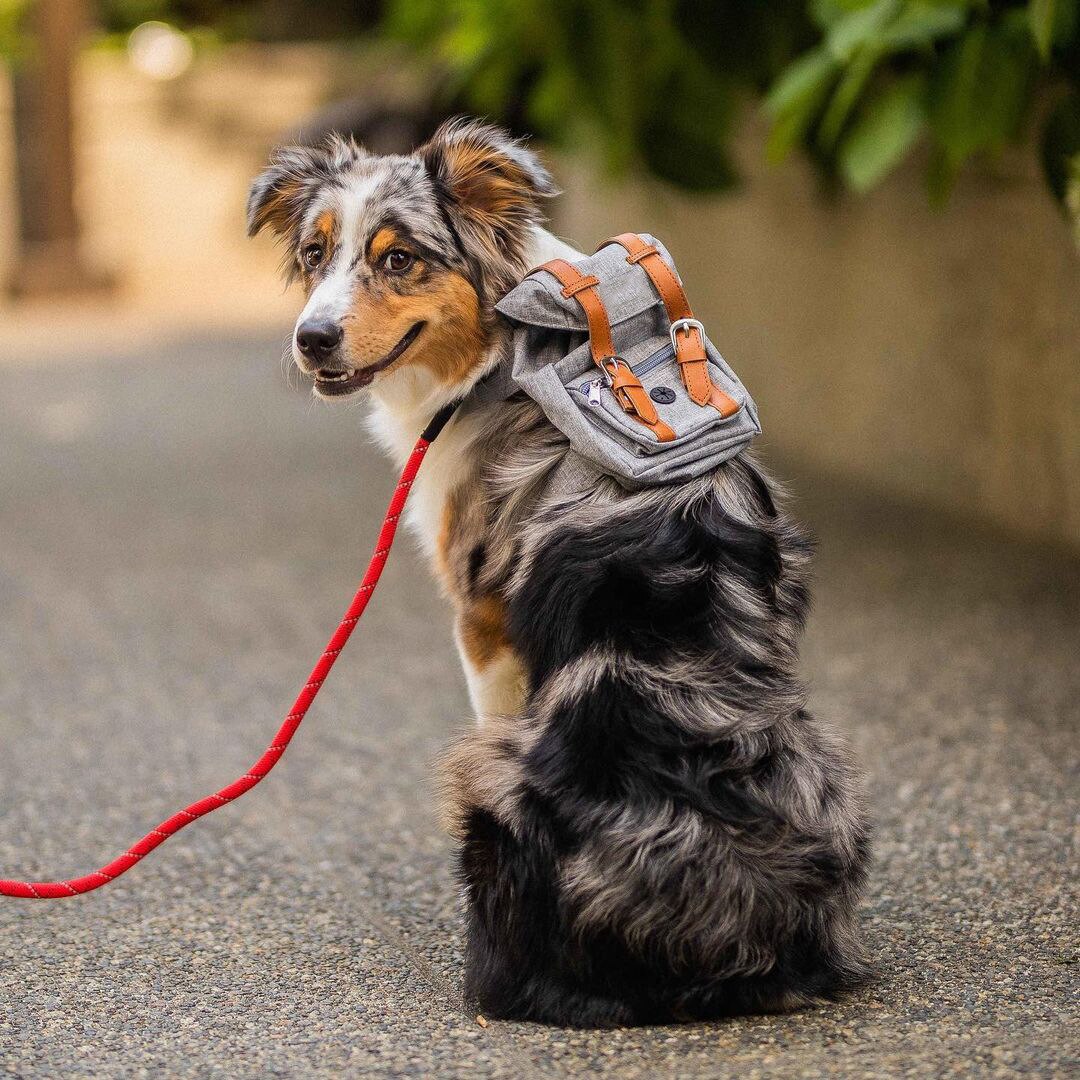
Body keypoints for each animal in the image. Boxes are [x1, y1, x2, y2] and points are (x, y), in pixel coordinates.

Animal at [248, 118, 872, 1028]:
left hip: (483, 772)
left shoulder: (481, 622)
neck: (504, 352)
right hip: (831, 783)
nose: (311, 339)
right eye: (315, 252)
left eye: (400, 259)